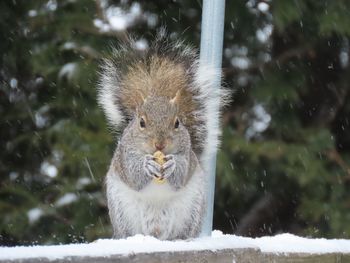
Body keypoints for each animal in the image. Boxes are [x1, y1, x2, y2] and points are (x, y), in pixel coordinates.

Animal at [96, 31, 227, 241]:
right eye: (141, 122)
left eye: (177, 123)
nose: (160, 144)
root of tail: (156, 234)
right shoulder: (125, 155)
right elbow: (134, 174)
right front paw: (147, 165)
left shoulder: (187, 155)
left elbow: (181, 173)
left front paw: (172, 164)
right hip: (122, 211)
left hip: (191, 210)